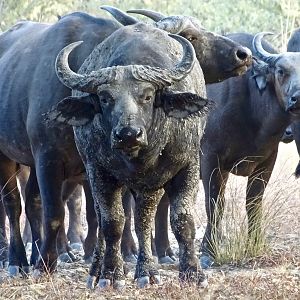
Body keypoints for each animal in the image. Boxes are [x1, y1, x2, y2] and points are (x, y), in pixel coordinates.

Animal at [47, 23, 212, 288]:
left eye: (147, 96)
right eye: (105, 98)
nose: (128, 135)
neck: (139, 158)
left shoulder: (187, 166)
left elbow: (182, 220)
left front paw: (193, 273)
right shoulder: (98, 172)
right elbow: (112, 222)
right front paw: (111, 273)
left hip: (150, 186)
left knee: (143, 218)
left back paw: (147, 271)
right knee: (105, 219)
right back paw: (98, 270)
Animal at [199, 32, 300, 268]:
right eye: (281, 71)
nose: (298, 98)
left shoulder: (266, 162)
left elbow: (253, 203)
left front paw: (253, 243)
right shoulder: (209, 158)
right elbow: (214, 203)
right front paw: (208, 251)